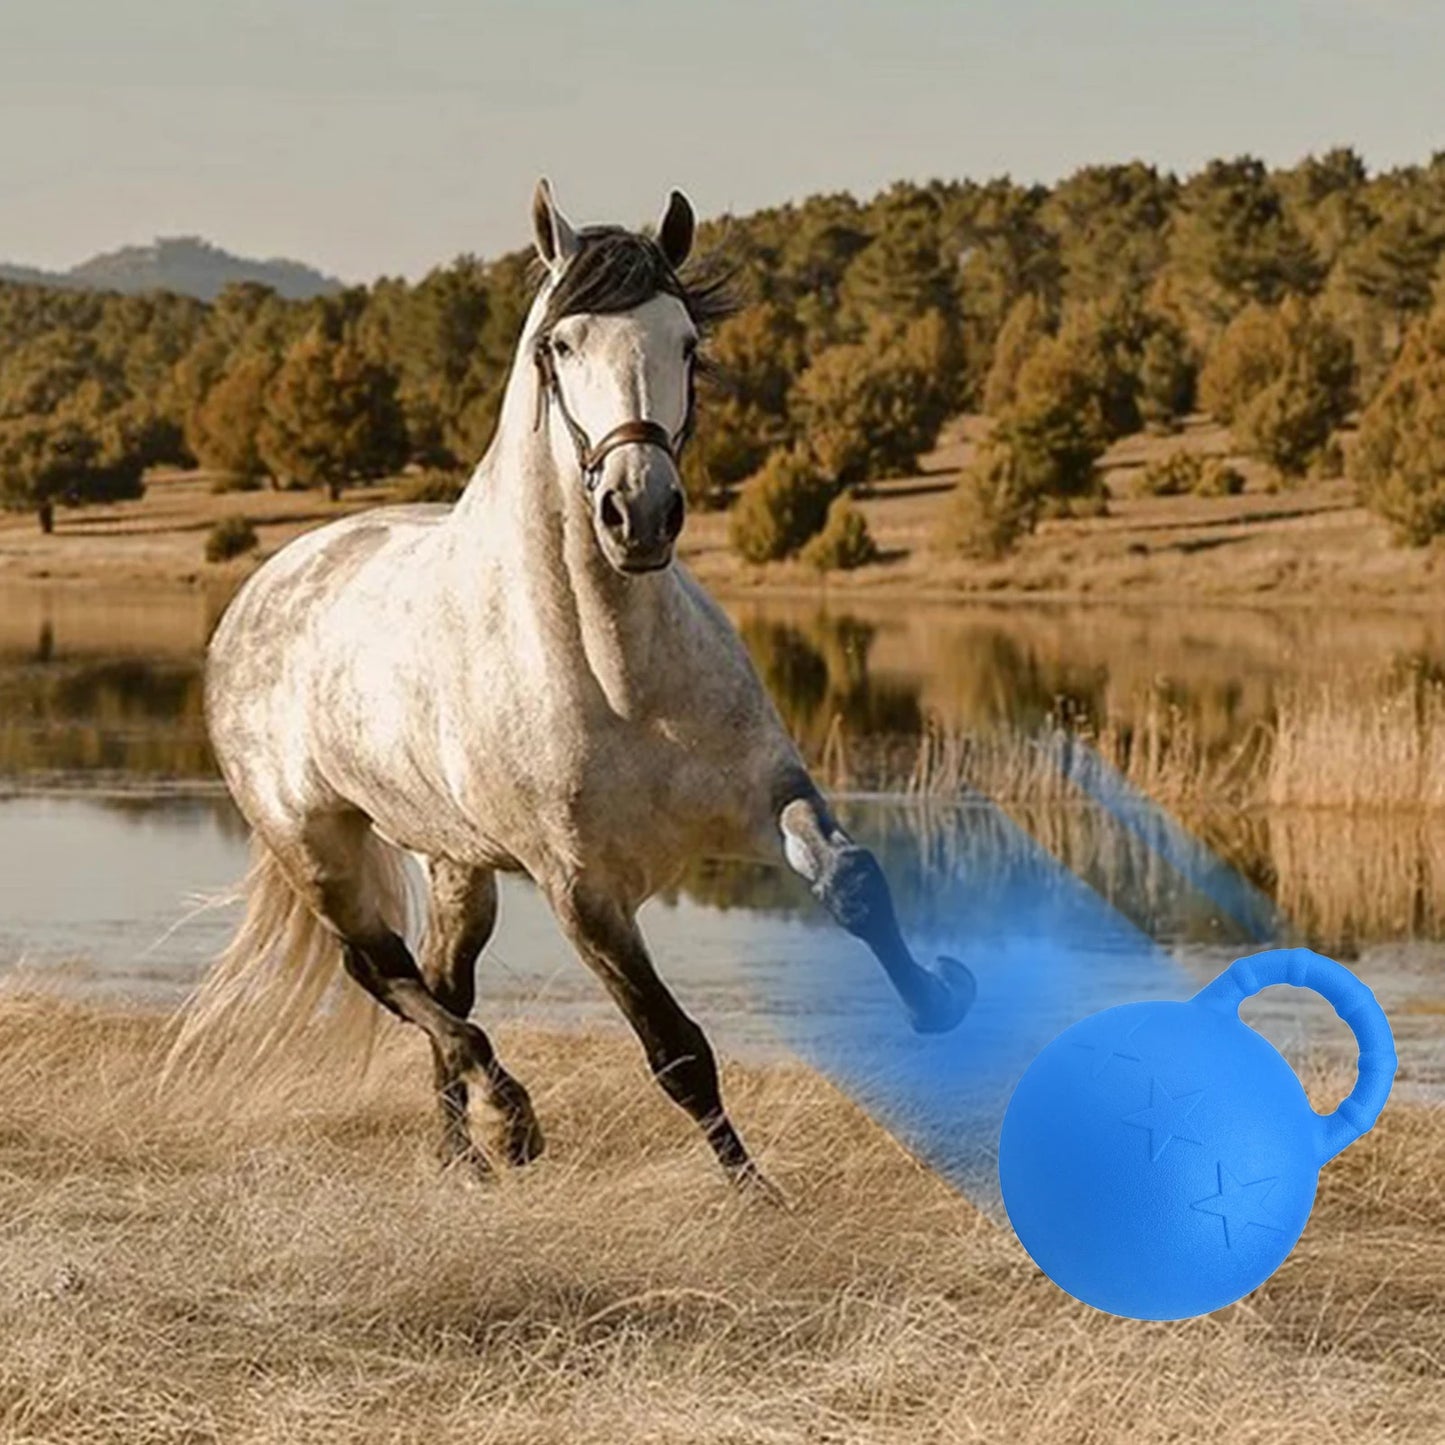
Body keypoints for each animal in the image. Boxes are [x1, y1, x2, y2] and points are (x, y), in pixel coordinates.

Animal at [174, 180, 976, 1190]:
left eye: (687, 341)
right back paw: (509, 1120)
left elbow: (856, 882)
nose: (639, 512)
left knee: (441, 979)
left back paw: (463, 1158)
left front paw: (942, 997)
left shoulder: (765, 797)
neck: (616, 674)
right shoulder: (583, 893)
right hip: (317, 848)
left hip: (456, 862)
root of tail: (263, 586)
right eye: (558, 345)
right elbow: (676, 1051)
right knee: (384, 973)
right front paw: (758, 1198)